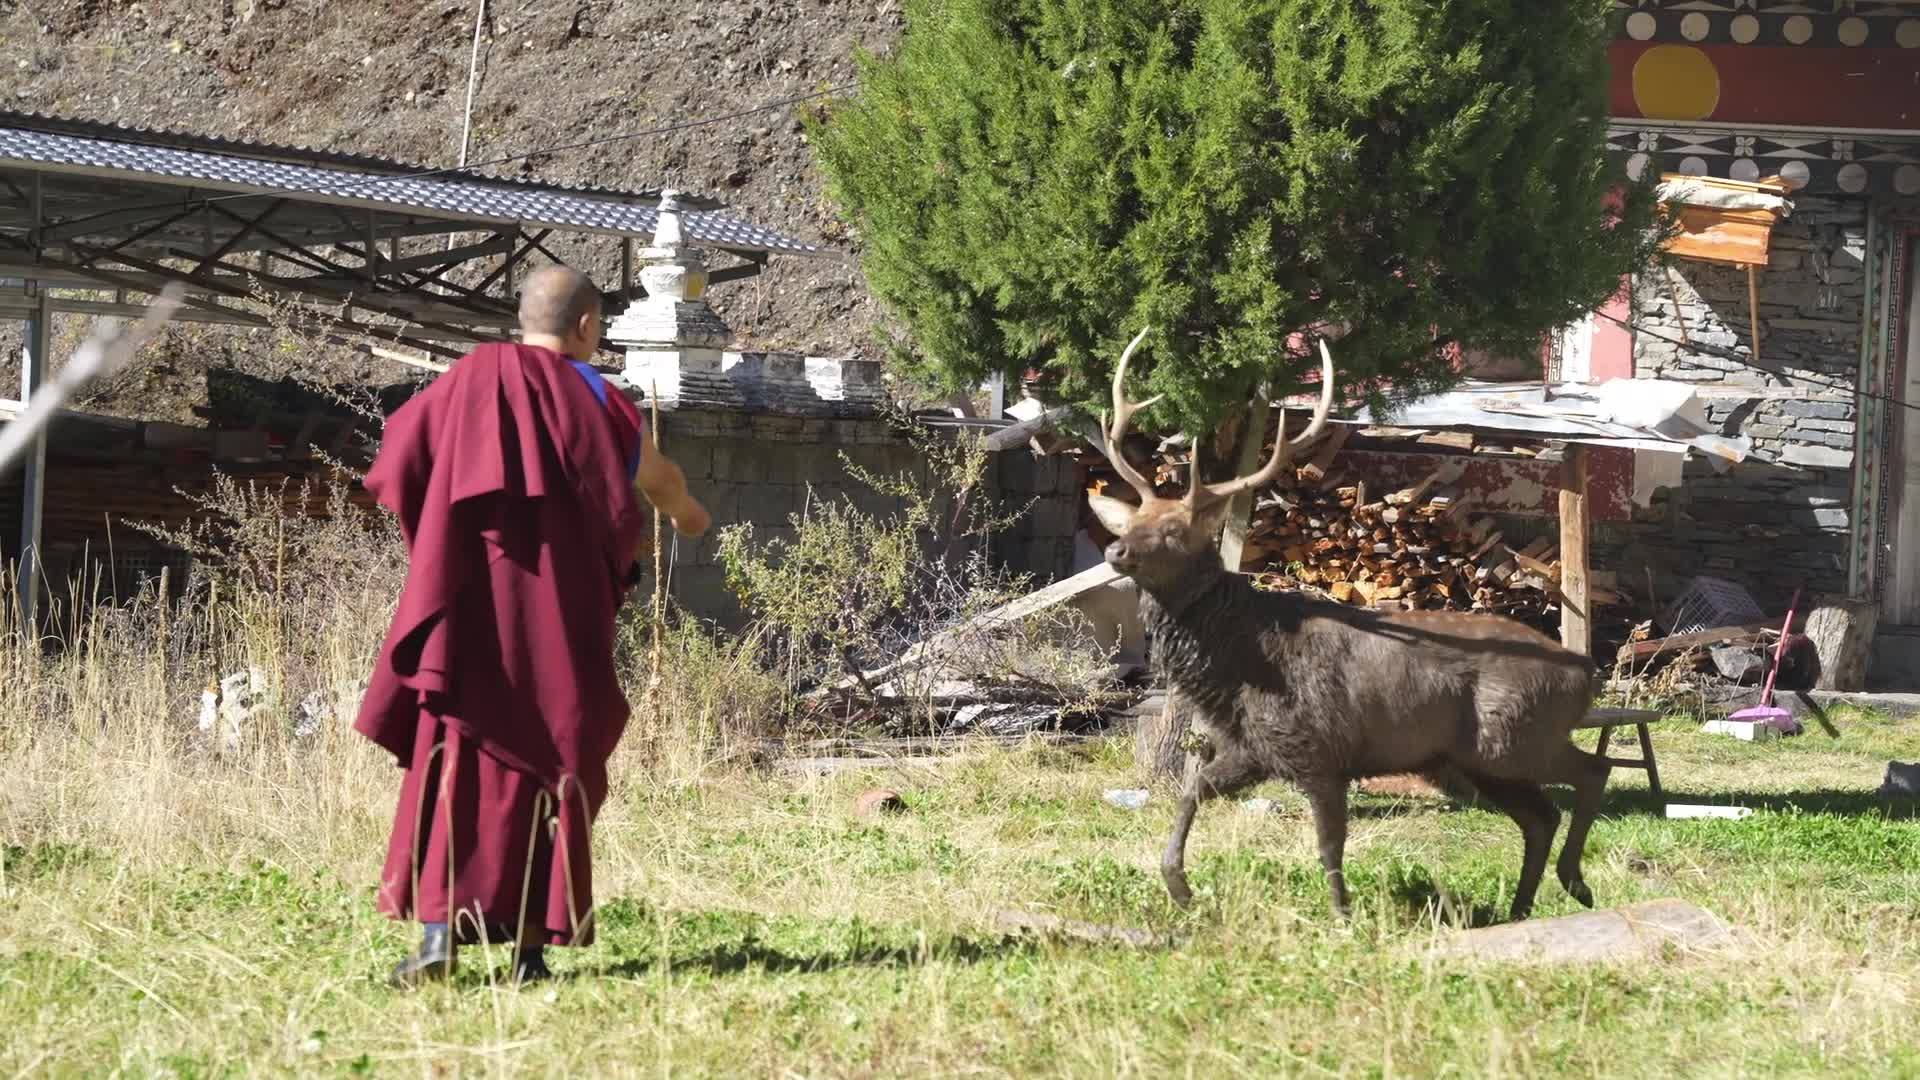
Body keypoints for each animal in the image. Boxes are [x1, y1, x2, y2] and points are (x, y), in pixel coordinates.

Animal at [1087, 328, 1612, 922]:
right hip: (1483, 756)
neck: (1243, 660)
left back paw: (1575, 882)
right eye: (1134, 519)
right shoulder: (1252, 749)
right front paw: (1178, 887)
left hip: (1515, 736)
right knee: (1540, 815)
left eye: (1175, 531)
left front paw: (1342, 916)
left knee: (1593, 773)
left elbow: (1329, 842)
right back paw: (1523, 906)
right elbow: (1191, 791)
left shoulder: (1320, 747)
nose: (1116, 550)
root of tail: (1586, 673)